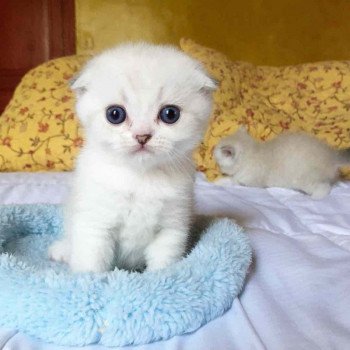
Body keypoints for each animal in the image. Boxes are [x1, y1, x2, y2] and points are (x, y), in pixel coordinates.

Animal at [47, 43, 215, 274]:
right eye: (115, 114)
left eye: (170, 114)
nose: (142, 136)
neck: (140, 177)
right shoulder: (94, 224)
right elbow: (91, 265)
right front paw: (88, 279)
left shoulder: (171, 229)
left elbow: (163, 266)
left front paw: (160, 279)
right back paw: (62, 251)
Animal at [215, 128, 348, 200]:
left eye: (218, 162)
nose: (219, 169)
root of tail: (333, 156)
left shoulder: (251, 183)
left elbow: (233, 181)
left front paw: (220, 181)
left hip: (305, 180)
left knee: (325, 188)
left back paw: (312, 198)